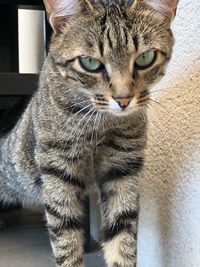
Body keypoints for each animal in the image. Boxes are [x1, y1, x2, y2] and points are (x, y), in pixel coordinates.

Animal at [0, 0, 179, 266]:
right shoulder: (58, 174)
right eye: (90, 63)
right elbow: (66, 240)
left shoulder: (123, 170)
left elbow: (122, 237)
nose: (123, 100)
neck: (101, 124)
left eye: (145, 58)